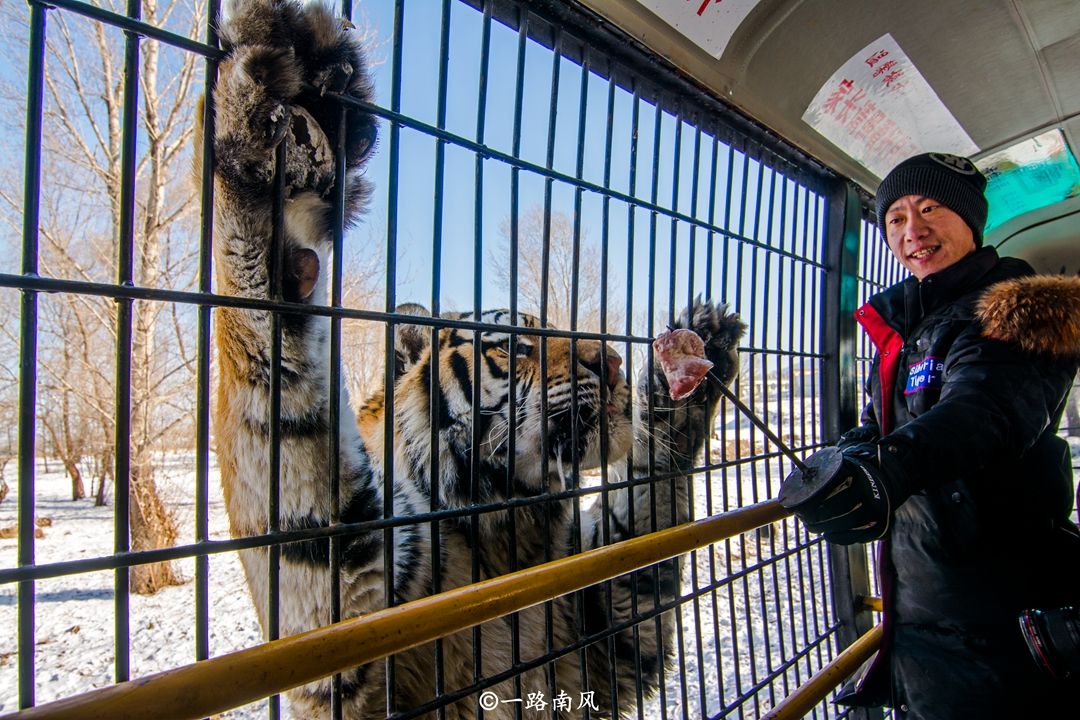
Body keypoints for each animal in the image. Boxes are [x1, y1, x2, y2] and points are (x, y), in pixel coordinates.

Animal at [200, 0, 743, 716]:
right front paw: (275, 125)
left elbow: (646, 524)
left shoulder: (608, 637)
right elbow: (281, 391)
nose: (614, 363)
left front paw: (698, 354)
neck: (510, 531)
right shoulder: (341, 616)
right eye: (515, 344)